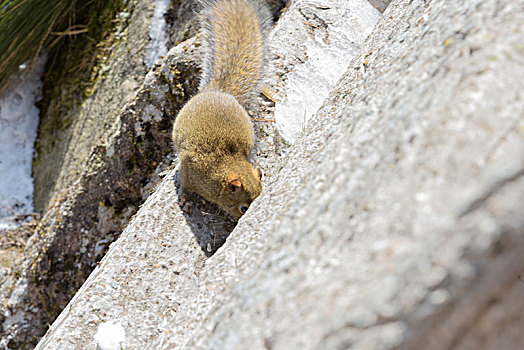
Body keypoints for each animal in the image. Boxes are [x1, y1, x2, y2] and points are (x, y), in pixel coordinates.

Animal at [173, 0, 270, 219]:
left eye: (262, 193)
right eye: (243, 208)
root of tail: (220, 91)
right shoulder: (190, 171)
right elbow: (184, 186)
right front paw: (186, 201)